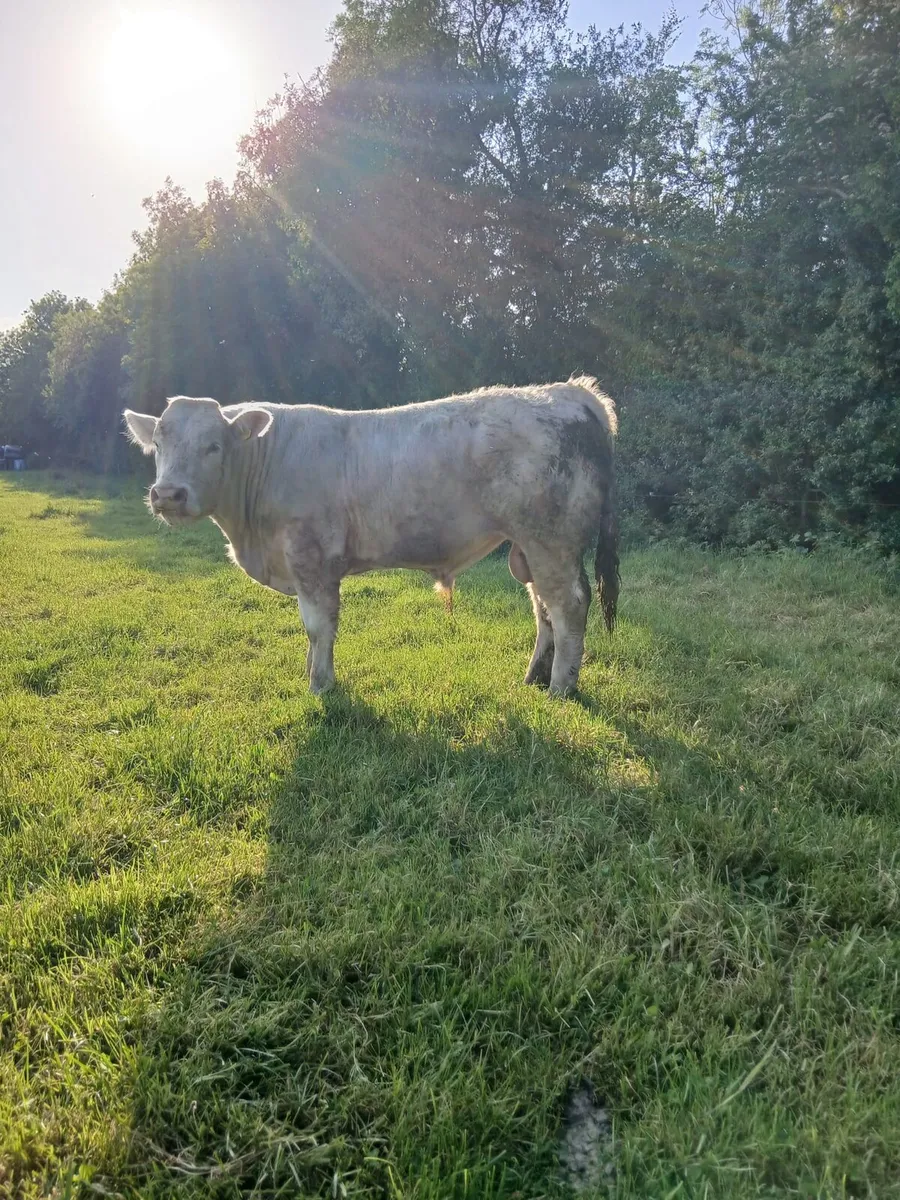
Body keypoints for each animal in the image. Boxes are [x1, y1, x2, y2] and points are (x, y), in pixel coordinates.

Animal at [123, 378, 619, 696]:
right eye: (159, 444)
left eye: (214, 446)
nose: (167, 494)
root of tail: (571, 391)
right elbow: (312, 633)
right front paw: (312, 673)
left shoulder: (312, 559)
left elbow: (318, 626)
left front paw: (320, 685)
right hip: (530, 548)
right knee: (542, 608)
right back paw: (535, 677)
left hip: (551, 540)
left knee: (568, 605)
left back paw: (560, 688)